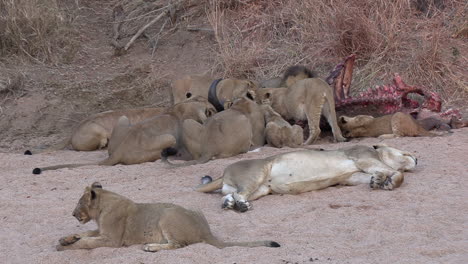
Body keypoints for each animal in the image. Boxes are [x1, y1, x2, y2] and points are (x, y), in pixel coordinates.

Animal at [56, 183, 280, 251]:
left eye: (78, 202)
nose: (73, 213)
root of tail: (206, 231)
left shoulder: (112, 239)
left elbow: (87, 242)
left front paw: (65, 246)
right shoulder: (101, 230)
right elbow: (85, 233)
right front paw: (66, 238)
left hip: (167, 215)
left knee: (177, 245)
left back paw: (151, 247)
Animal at [197, 144, 416, 212]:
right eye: (406, 152)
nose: (417, 158)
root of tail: (223, 173)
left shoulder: (354, 176)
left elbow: (376, 174)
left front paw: (378, 180)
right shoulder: (362, 156)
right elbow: (398, 173)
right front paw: (389, 180)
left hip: (261, 189)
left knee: (229, 195)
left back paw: (229, 204)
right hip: (257, 173)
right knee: (240, 194)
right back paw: (241, 206)